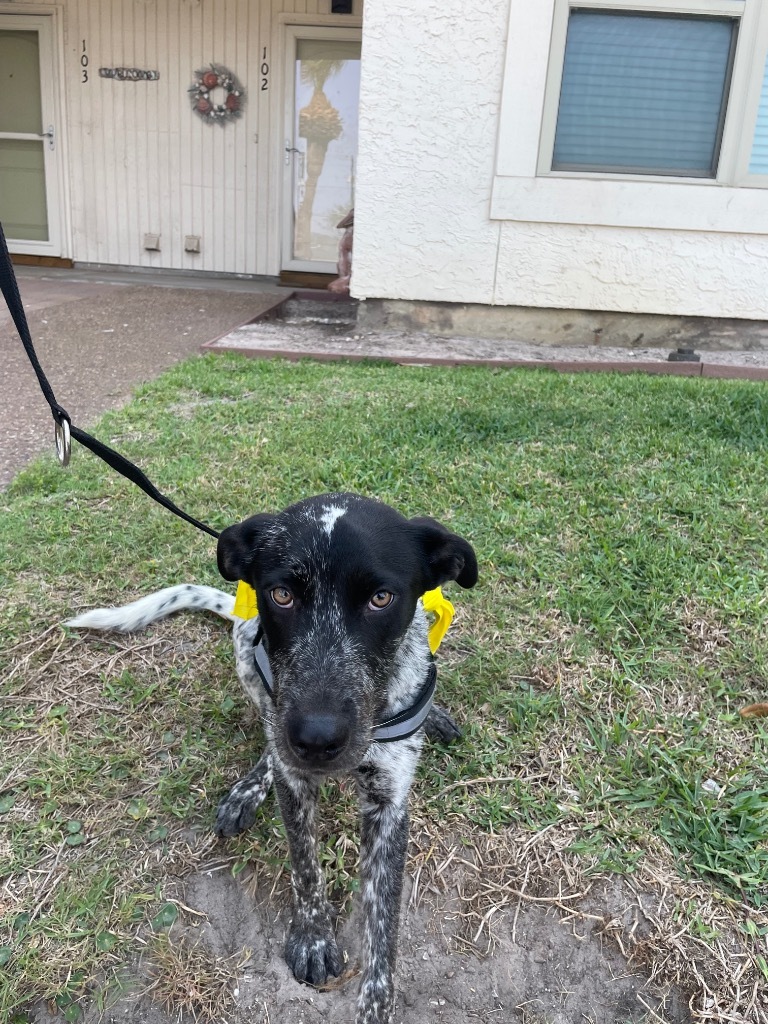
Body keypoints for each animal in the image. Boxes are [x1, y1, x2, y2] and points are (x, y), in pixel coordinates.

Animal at [67, 491, 475, 1019]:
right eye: (281, 595)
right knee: (267, 732)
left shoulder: (389, 804)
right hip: (246, 650)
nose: (316, 739)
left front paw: (375, 1005)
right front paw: (314, 939)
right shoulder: (295, 780)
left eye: (381, 599)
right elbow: (305, 865)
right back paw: (248, 789)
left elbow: (384, 924)